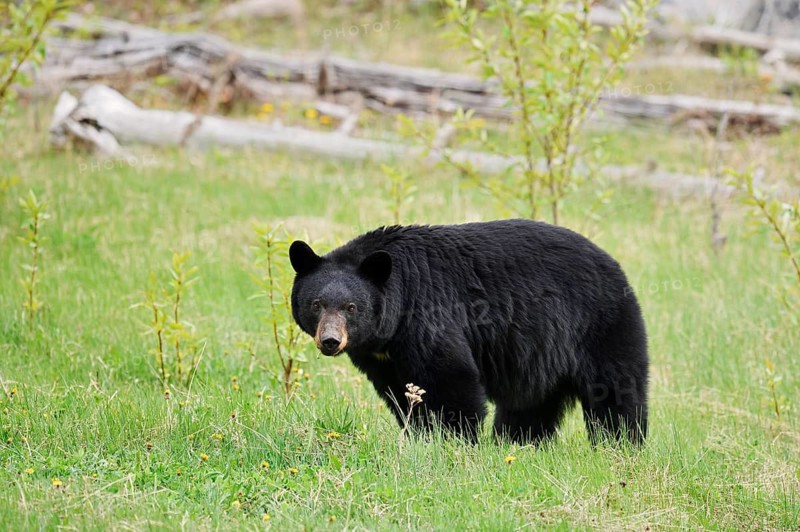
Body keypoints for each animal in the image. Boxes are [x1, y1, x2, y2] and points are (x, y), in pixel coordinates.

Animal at [289, 219, 648, 445]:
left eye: (351, 307)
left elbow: (451, 378)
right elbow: (401, 394)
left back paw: (621, 444)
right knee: (530, 403)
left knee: (614, 388)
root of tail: (614, 264)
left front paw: (454, 442)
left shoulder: (428, 314)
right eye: (316, 304)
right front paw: (420, 436)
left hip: (600, 324)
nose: (331, 341)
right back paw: (517, 443)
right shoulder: (382, 357)